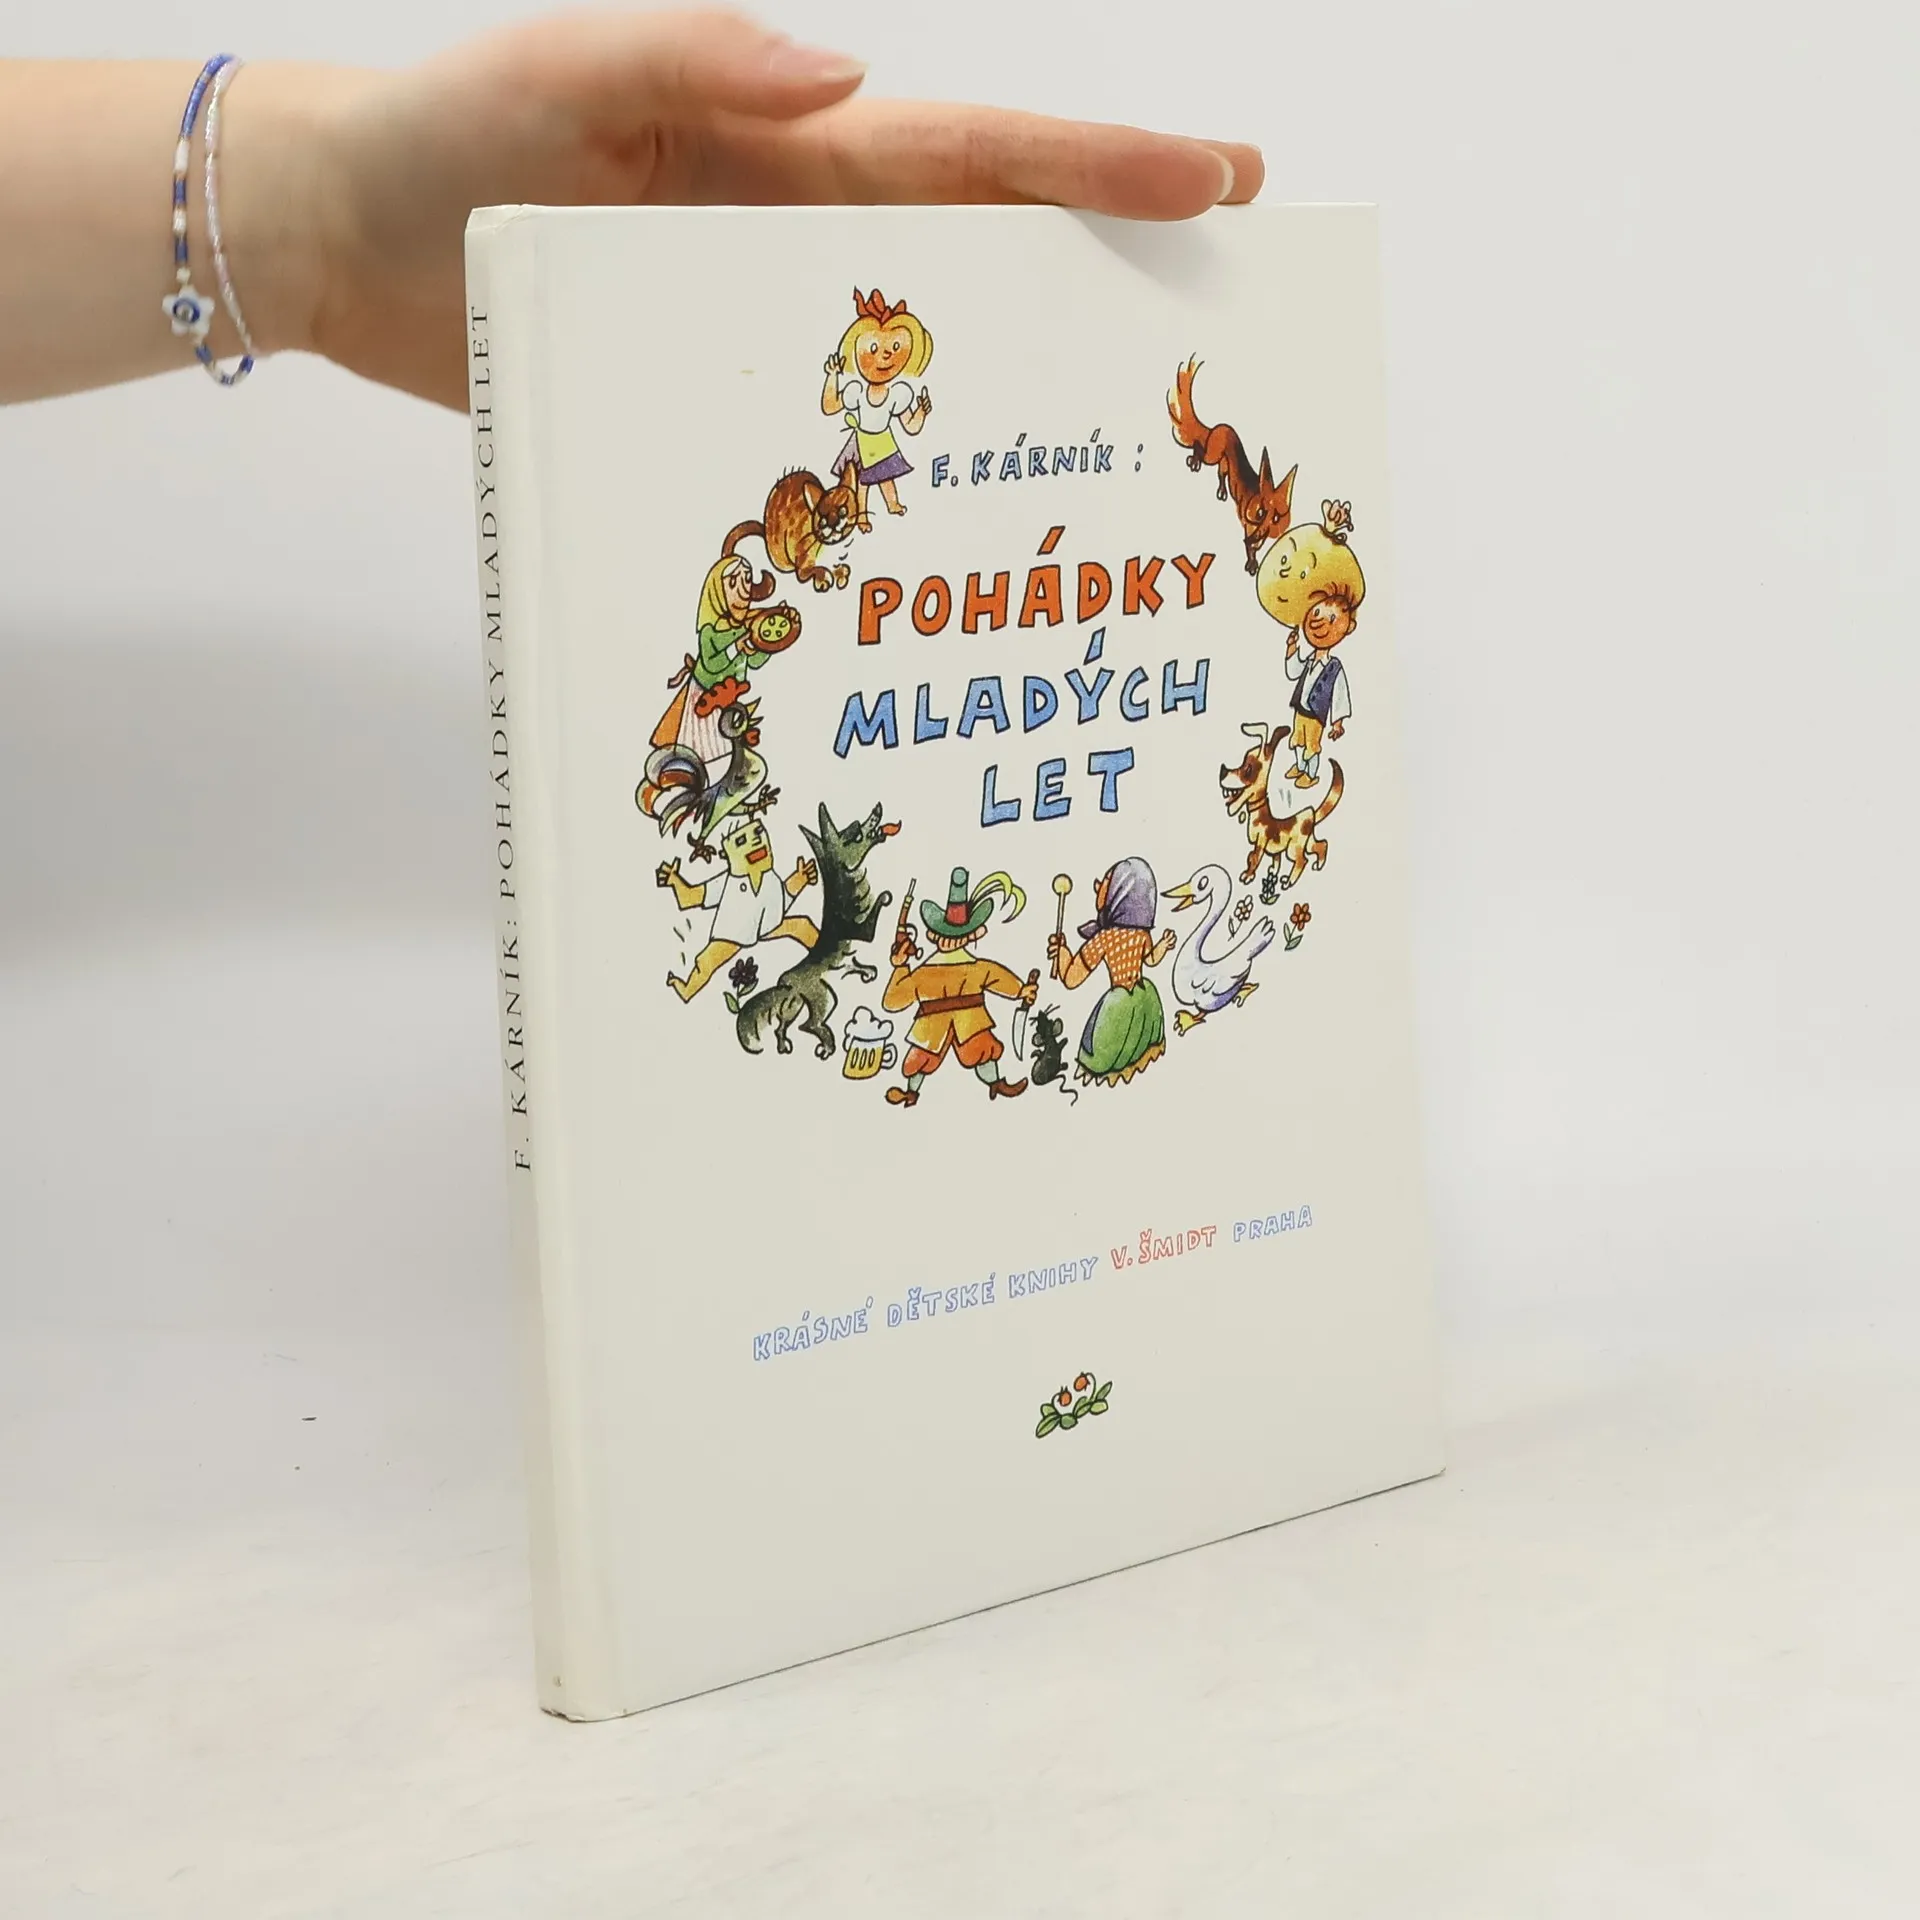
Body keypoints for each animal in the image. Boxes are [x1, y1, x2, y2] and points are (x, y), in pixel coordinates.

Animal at [724, 465, 860, 595]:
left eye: (842, 511)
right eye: (822, 519)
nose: (832, 523)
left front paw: (841, 573)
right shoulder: (802, 554)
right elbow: (807, 571)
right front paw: (822, 577)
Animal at [1219, 722, 1343, 891]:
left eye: (1248, 769)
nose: (1222, 771)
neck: (1260, 815)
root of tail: (1311, 814)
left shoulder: (1261, 842)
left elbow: (1255, 858)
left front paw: (1248, 876)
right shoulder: (1274, 849)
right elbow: (1271, 860)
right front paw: (1272, 872)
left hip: (1294, 847)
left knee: (1301, 860)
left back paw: (1289, 881)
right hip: (1308, 840)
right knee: (1321, 844)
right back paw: (1319, 864)